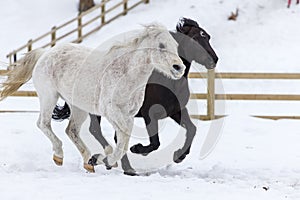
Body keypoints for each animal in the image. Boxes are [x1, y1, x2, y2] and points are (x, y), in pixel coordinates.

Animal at [0, 23, 185, 173]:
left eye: (176, 45)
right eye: (161, 45)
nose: (179, 67)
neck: (127, 75)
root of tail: (46, 52)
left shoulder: (129, 115)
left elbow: (123, 142)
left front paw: (103, 160)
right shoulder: (111, 111)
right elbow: (123, 141)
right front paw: (106, 160)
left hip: (78, 107)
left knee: (71, 130)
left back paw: (88, 161)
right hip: (49, 96)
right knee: (43, 124)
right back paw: (60, 156)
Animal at [53, 18, 218, 174]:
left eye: (208, 36)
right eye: (197, 38)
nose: (214, 60)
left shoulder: (176, 111)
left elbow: (191, 129)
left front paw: (179, 156)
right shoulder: (149, 114)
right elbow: (155, 143)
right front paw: (137, 149)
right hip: (96, 110)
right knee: (96, 130)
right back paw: (115, 163)